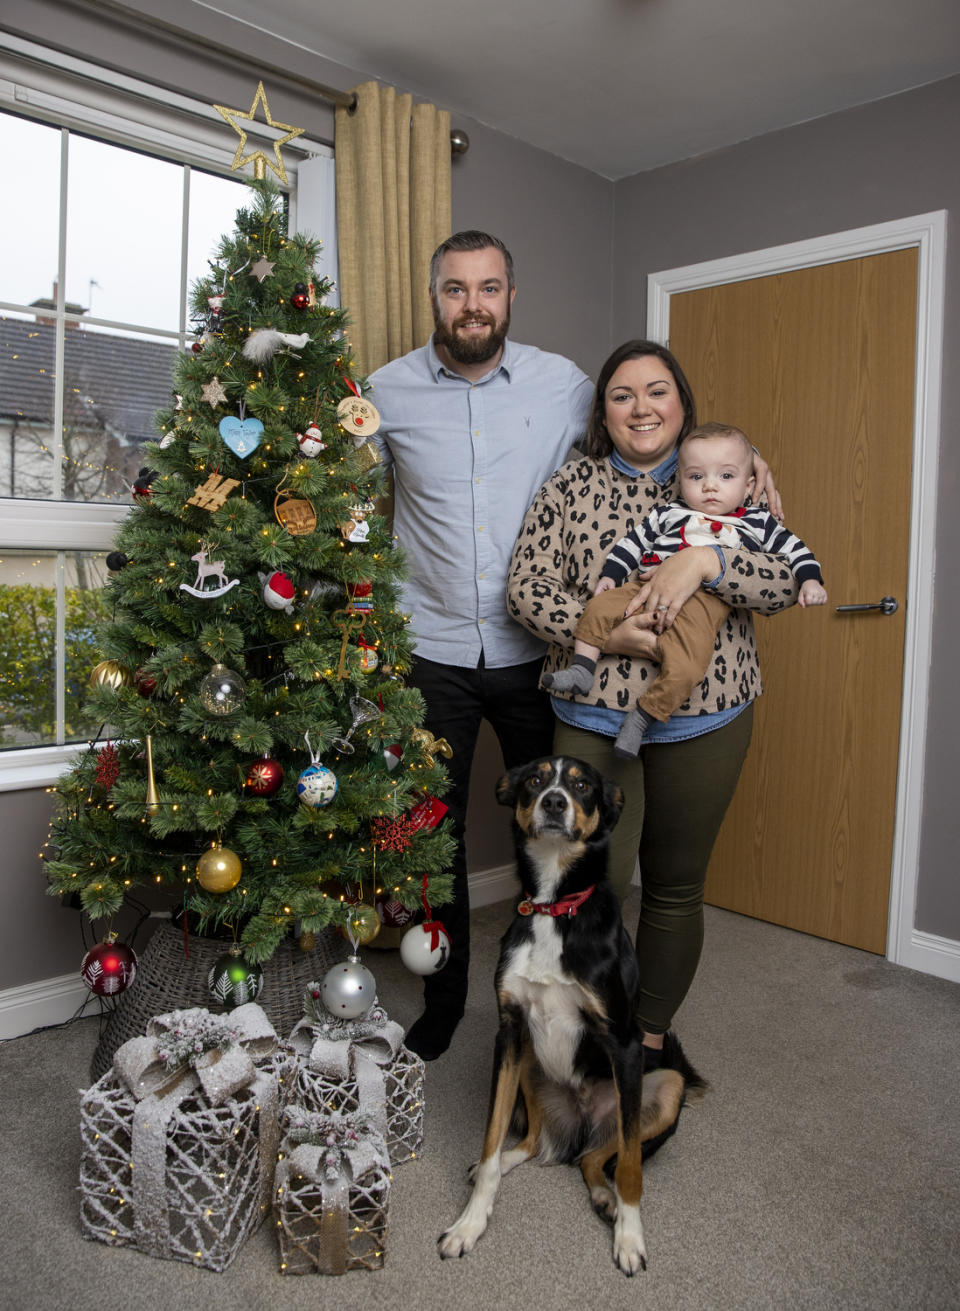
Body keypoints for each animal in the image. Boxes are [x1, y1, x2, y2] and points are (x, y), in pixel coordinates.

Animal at [438, 755, 702, 1274]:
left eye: (582, 786)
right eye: (535, 780)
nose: (555, 802)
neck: (553, 908)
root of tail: (580, 1121)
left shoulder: (624, 1046)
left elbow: (632, 1170)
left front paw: (630, 1238)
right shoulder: (509, 1032)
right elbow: (491, 1139)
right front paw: (469, 1224)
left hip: (662, 1087)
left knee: (601, 1156)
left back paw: (606, 1198)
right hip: (528, 1064)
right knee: (536, 1144)